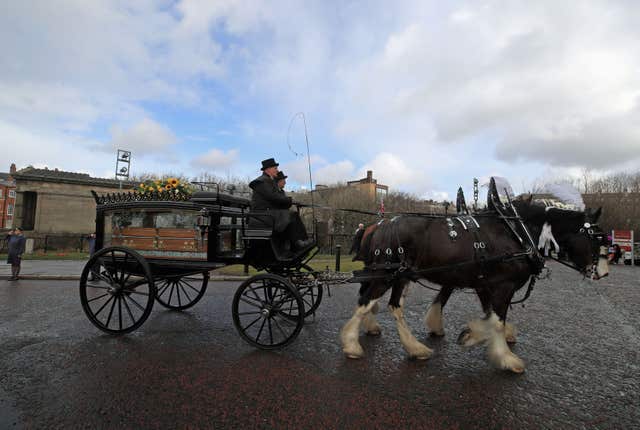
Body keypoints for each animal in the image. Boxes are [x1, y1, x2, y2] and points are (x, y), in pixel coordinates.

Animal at [338, 195, 608, 372]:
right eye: (596, 238)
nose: (603, 273)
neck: (517, 233)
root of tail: (381, 225)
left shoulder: (486, 284)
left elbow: (489, 315)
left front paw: (472, 334)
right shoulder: (502, 286)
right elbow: (496, 321)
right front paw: (505, 357)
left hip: (400, 275)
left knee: (392, 306)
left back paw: (414, 348)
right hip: (387, 274)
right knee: (366, 302)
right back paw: (352, 344)